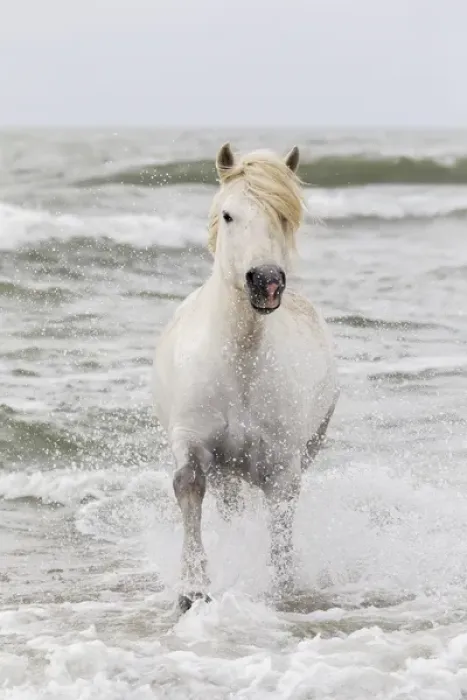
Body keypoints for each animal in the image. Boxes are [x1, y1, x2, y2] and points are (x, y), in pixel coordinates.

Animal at [152, 143, 338, 610]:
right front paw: (192, 590)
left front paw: (283, 589)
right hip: (227, 469)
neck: (240, 363)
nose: (266, 282)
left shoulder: (283, 463)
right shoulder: (192, 441)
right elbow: (188, 486)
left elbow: (281, 518)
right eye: (229, 215)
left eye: (284, 216)